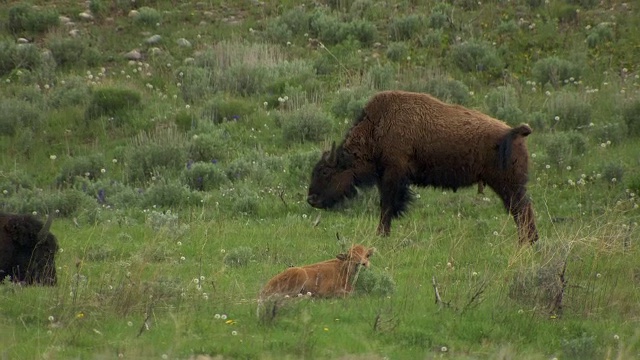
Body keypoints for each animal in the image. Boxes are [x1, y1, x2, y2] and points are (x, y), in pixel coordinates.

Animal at [308, 90, 536, 245]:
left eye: (325, 172)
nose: (311, 200)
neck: (377, 127)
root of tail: (513, 132)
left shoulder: (393, 175)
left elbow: (387, 206)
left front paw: (381, 234)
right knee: (522, 210)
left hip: (508, 185)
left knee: (521, 211)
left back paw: (526, 243)